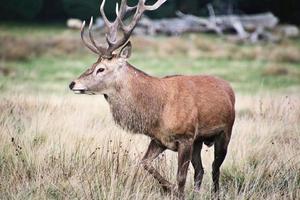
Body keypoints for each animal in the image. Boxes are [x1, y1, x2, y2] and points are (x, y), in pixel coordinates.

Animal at [69, 0, 236, 199]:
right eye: (93, 64)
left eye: (101, 69)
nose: (72, 83)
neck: (157, 111)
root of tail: (229, 87)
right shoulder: (159, 139)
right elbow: (144, 163)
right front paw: (169, 188)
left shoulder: (185, 136)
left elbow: (181, 177)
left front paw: (177, 192)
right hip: (199, 140)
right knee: (200, 170)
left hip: (225, 131)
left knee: (215, 168)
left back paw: (215, 193)